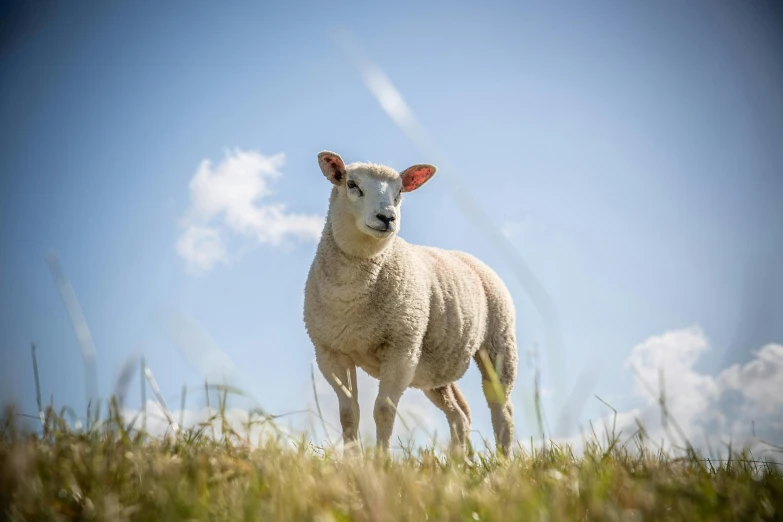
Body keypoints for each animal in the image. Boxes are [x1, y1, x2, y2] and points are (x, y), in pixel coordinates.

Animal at [306, 149, 520, 450]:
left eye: (399, 192)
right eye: (352, 184)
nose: (387, 217)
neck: (351, 298)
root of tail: (469, 258)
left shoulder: (402, 348)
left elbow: (383, 410)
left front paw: (381, 458)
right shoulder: (330, 352)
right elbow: (348, 414)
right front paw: (353, 459)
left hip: (498, 343)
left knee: (502, 410)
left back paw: (502, 459)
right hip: (435, 367)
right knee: (460, 413)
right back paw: (458, 460)